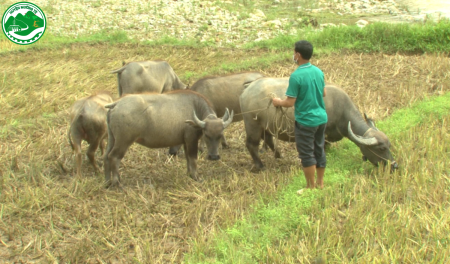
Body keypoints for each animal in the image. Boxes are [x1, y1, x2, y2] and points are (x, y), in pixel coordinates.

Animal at [103, 89, 234, 187]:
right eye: (206, 135)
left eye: (220, 135)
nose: (214, 157)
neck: (195, 109)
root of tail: (116, 104)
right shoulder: (191, 140)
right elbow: (193, 159)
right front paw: (196, 177)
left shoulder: (185, 142)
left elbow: (188, 159)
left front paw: (189, 174)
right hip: (123, 141)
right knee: (114, 157)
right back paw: (117, 183)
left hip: (112, 139)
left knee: (106, 157)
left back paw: (107, 182)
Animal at [239, 77, 398, 171]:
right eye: (381, 148)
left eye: (389, 145)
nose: (394, 165)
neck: (340, 109)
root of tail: (247, 89)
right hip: (252, 125)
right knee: (251, 145)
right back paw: (261, 166)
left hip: (266, 126)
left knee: (269, 140)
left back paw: (279, 156)